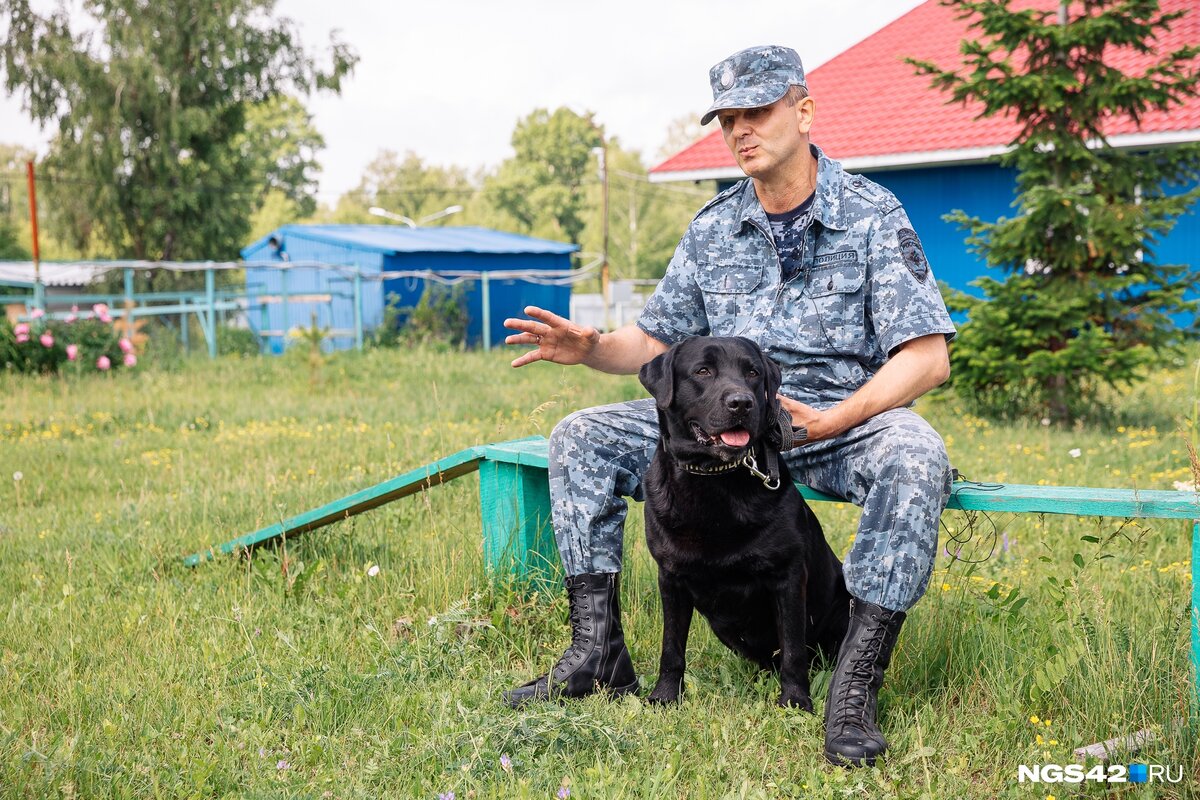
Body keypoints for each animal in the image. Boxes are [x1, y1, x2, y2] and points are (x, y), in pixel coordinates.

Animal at [643, 335, 849, 710]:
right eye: (703, 371)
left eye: (752, 373)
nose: (741, 402)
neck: (714, 479)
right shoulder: (671, 578)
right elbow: (671, 647)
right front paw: (665, 696)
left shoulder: (788, 577)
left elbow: (793, 649)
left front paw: (795, 701)